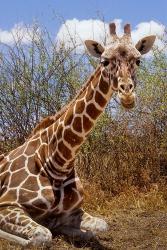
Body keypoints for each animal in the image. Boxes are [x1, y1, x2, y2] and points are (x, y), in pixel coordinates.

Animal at [0, 23, 155, 246]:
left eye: (138, 60)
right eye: (104, 61)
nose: (127, 95)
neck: (57, 161)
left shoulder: (74, 211)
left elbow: (100, 226)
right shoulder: (7, 204)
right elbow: (40, 236)